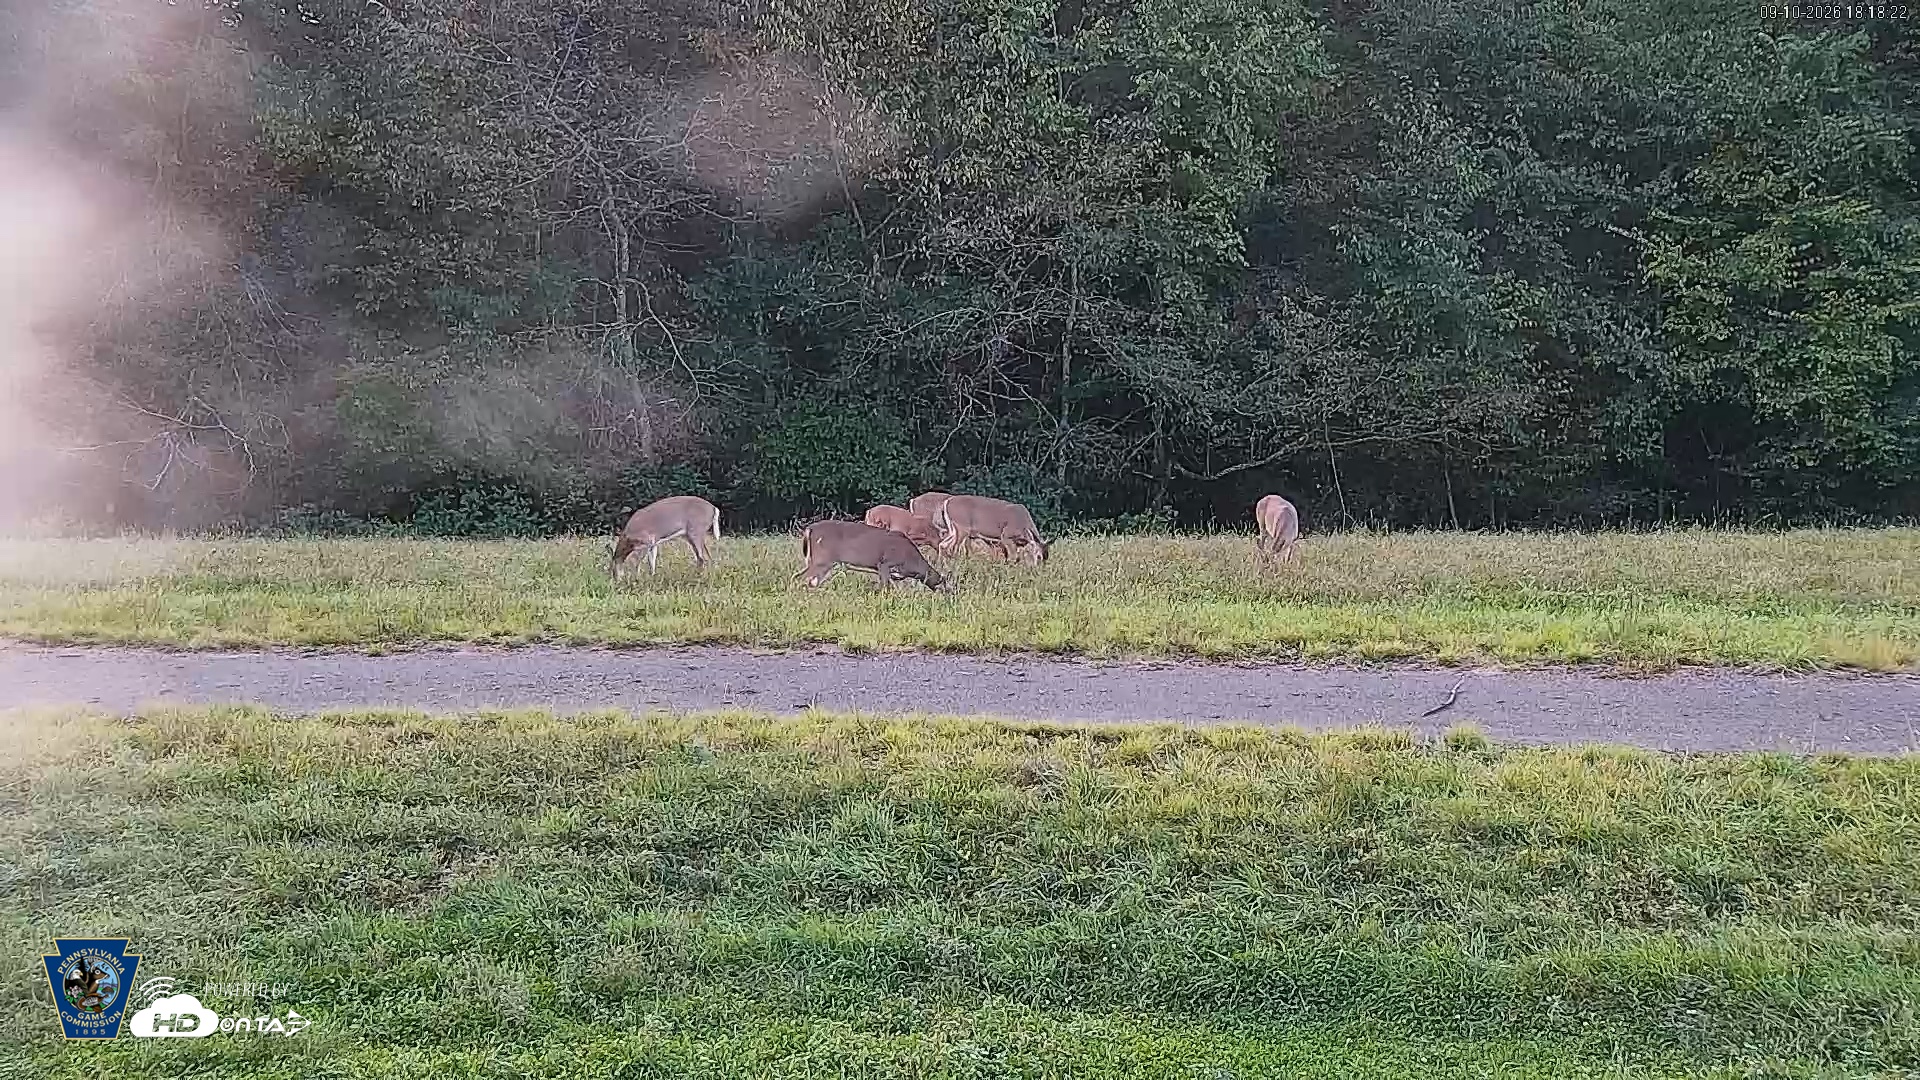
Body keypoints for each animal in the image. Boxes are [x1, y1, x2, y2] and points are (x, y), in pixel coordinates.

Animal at [796, 519, 948, 591]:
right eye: (943, 584)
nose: (949, 595)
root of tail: (809, 529)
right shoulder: (884, 563)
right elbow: (884, 587)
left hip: (815, 560)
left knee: (802, 577)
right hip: (823, 559)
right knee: (803, 578)